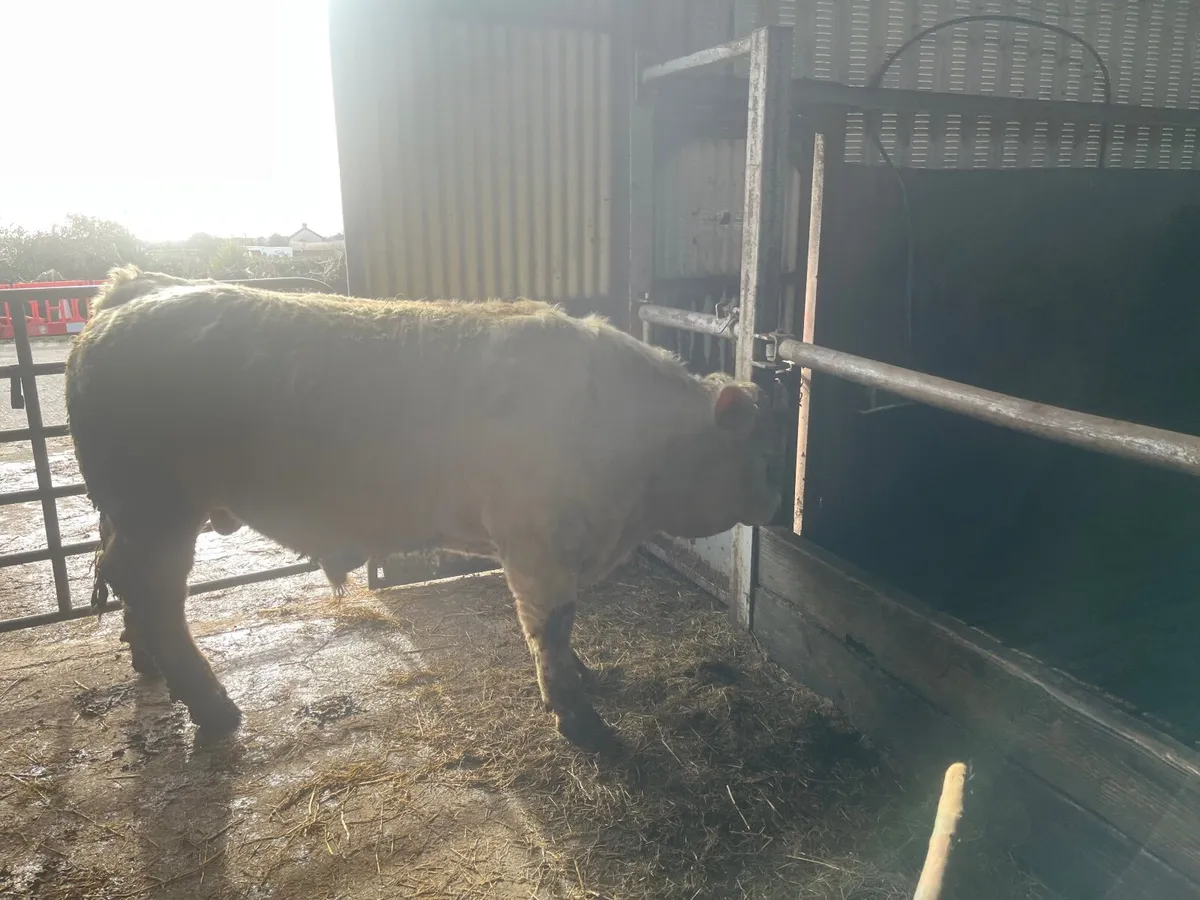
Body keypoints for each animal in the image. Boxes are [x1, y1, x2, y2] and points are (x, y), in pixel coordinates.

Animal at [65, 267, 783, 750]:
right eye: (755, 445)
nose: (779, 500)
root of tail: (133, 293)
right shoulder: (536, 546)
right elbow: (549, 629)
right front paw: (581, 721)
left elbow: (562, 631)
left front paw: (586, 677)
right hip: (158, 510)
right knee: (152, 591)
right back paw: (214, 708)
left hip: (132, 514)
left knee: (124, 581)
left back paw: (152, 667)